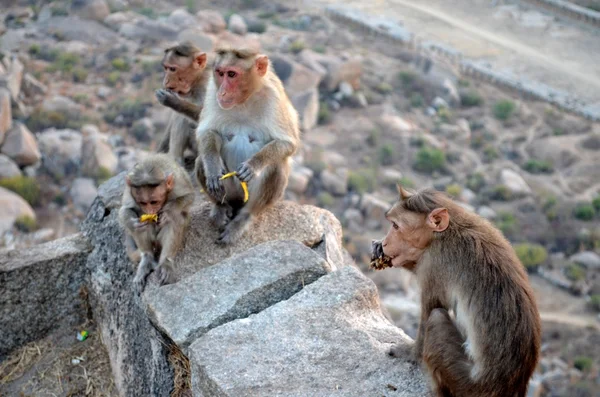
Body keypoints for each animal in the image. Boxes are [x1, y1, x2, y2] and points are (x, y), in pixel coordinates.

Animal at [117, 152, 192, 288]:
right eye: (143, 203)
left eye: (154, 202)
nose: (150, 211)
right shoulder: (129, 191)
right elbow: (125, 209)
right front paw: (132, 223)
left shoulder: (178, 182)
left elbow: (189, 197)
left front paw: (169, 211)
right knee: (142, 225)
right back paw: (147, 259)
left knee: (175, 219)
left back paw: (166, 262)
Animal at [195, 45, 300, 244]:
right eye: (220, 73)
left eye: (232, 74)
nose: (222, 92)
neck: (245, 100)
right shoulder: (212, 91)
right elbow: (207, 132)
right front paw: (213, 168)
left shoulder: (274, 96)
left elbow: (287, 143)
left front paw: (253, 165)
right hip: (231, 193)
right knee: (200, 161)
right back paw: (221, 206)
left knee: (276, 165)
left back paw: (244, 218)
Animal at [372, 185, 540, 396]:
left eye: (395, 226)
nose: (386, 242)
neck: (443, 233)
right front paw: (378, 248)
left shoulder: (435, 262)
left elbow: (430, 310)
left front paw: (410, 352)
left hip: (464, 384)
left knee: (436, 318)